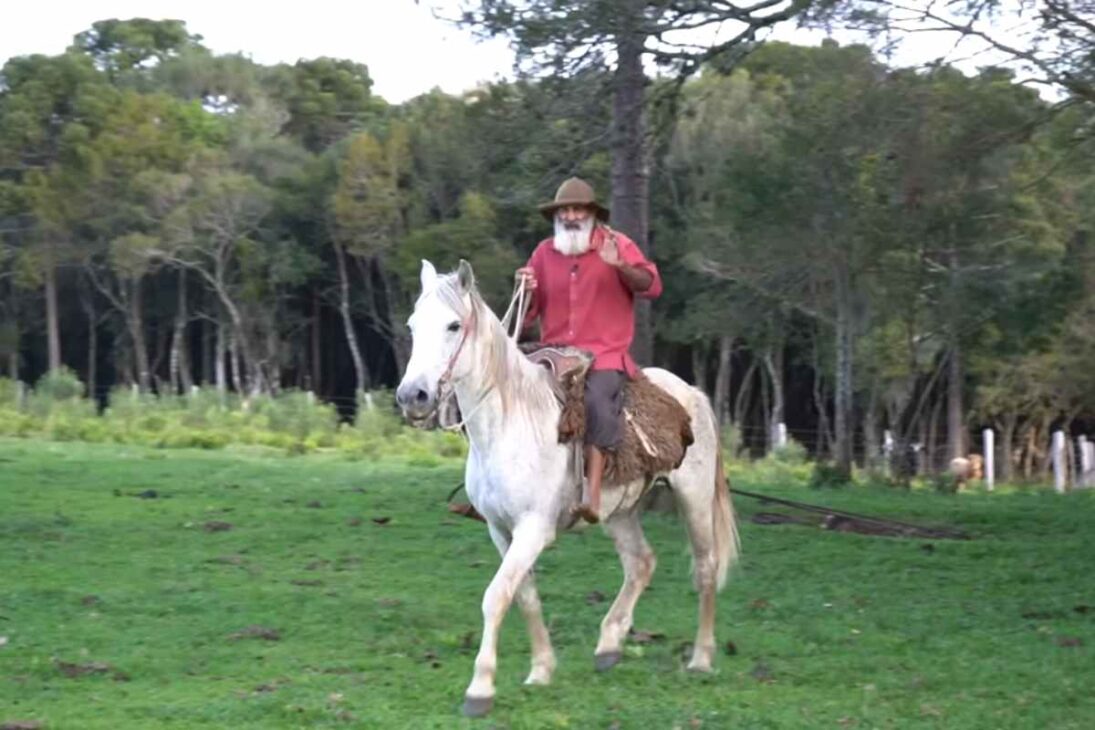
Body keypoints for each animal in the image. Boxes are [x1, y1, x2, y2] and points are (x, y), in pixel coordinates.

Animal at [395, 259, 739, 717]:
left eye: (453, 325)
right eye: (413, 325)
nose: (412, 396)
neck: (510, 422)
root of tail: (692, 394)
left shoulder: (533, 529)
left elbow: (496, 596)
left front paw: (480, 689)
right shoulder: (500, 530)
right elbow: (524, 595)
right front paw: (541, 669)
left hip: (694, 497)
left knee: (705, 568)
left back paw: (700, 658)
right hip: (620, 511)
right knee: (641, 563)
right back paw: (609, 644)